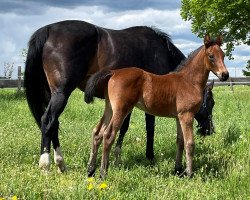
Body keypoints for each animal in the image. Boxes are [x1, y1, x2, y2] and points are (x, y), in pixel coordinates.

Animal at [84, 34, 229, 178]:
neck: (188, 81)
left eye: (223, 55)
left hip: (110, 108)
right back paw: (103, 173)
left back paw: (91, 170)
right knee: (108, 135)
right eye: (211, 56)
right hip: (121, 110)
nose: (225, 75)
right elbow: (190, 144)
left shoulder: (179, 117)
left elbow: (180, 141)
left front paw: (178, 169)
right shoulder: (187, 115)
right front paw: (189, 173)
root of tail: (113, 72)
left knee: (97, 132)